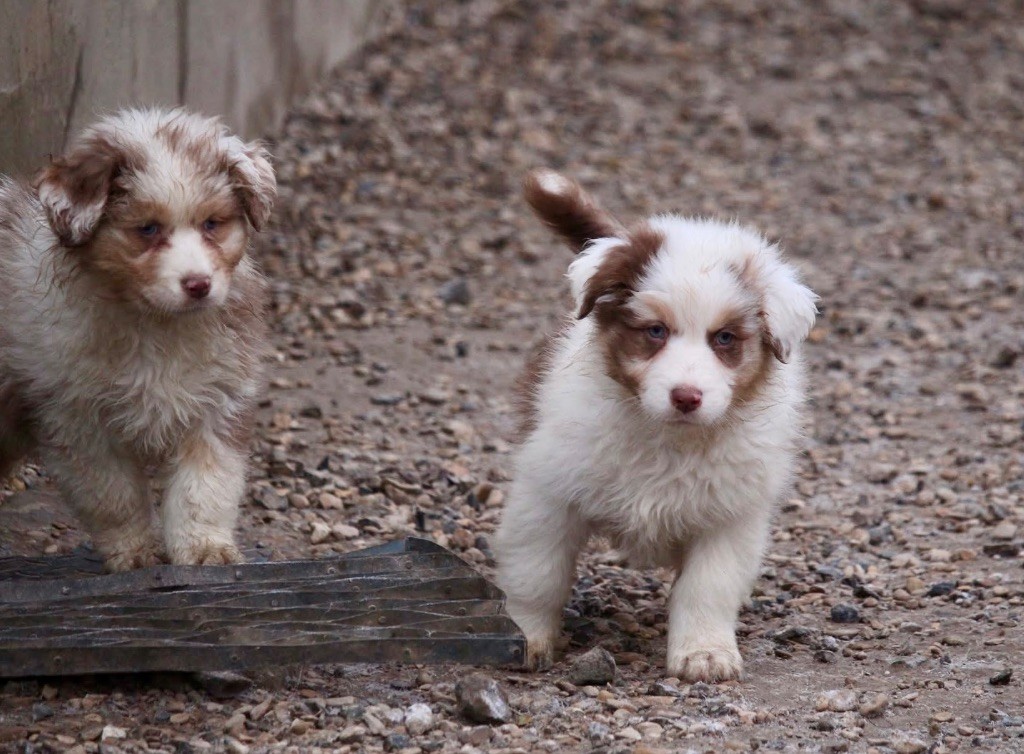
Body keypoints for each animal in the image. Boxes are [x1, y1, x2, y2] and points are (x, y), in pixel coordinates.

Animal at [0, 109, 276, 569]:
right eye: (147, 229)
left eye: (212, 224)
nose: (198, 285)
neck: (156, 326)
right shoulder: (76, 419)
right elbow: (113, 495)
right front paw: (135, 551)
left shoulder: (218, 402)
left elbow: (206, 486)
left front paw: (205, 548)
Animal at [491, 172, 819, 684]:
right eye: (655, 331)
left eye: (725, 338)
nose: (686, 397)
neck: (668, 438)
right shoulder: (548, 489)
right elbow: (537, 572)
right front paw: (525, 636)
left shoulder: (731, 515)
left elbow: (708, 587)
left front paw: (703, 652)